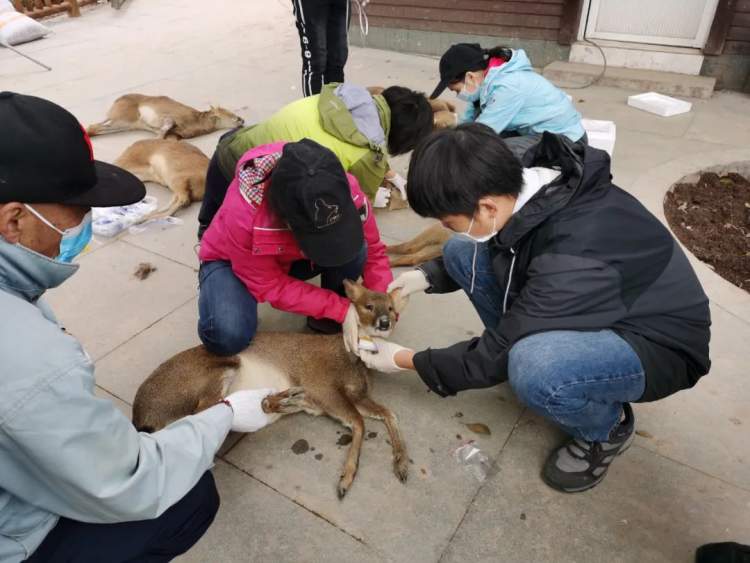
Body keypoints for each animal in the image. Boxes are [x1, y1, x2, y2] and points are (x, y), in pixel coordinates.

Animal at [87, 94, 244, 139]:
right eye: (229, 113)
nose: (241, 119)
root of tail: (117, 100)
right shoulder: (168, 118)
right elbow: (165, 128)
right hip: (122, 118)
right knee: (93, 126)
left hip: (126, 125)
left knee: (95, 129)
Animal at [131, 280, 412, 498]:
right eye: (368, 306)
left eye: (390, 308)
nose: (385, 322)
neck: (350, 357)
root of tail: (141, 416)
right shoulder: (322, 385)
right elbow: (359, 424)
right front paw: (346, 478)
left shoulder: (357, 394)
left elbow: (389, 413)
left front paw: (401, 463)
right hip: (214, 370)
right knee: (205, 411)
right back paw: (280, 399)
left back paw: (284, 400)